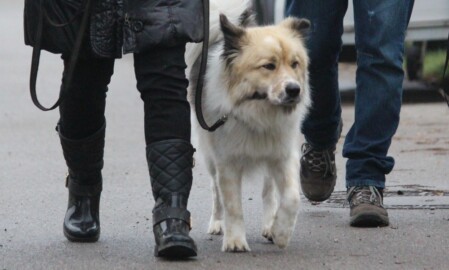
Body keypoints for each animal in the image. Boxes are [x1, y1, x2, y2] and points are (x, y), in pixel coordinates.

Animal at [185, 0, 308, 252]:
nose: (294, 90)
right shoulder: (227, 163)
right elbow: (232, 205)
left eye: (295, 64)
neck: (256, 113)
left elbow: (291, 198)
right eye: (269, 66)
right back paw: (217, 223)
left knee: (269, 192)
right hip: (210, 157)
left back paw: (269, 225)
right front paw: (235, 241)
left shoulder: (283, 156)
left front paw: (280, 232)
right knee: (215, 192)